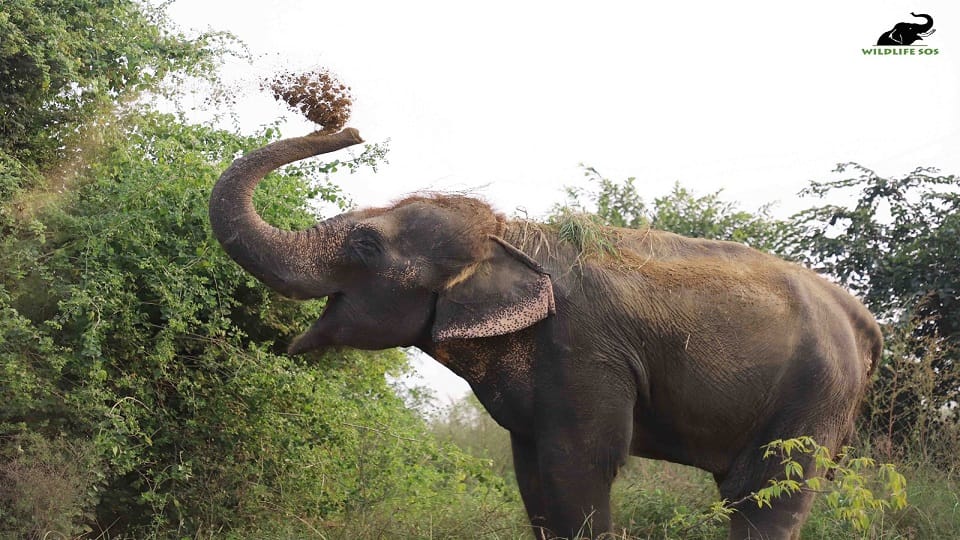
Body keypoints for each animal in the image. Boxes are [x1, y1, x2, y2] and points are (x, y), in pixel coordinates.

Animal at [209, 128, 881, 540]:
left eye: (366, 245)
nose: (348, 129)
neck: (508, 237)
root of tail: (862, 320)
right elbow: (532, 472)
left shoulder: (583, 351)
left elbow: (578, 466)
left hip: (814, 395)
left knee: (769, 496)